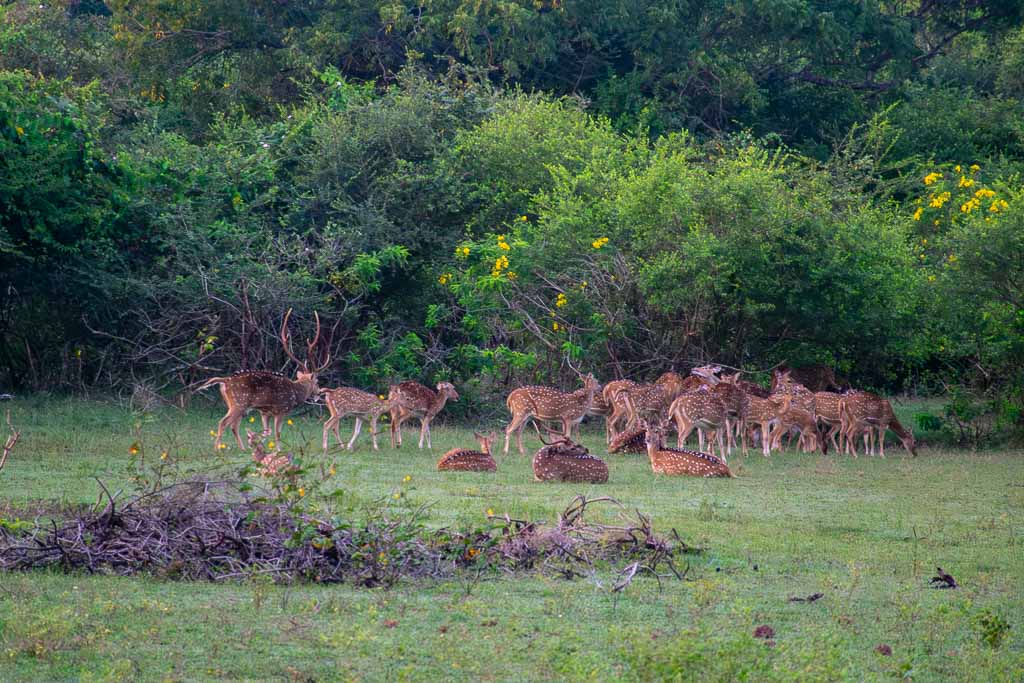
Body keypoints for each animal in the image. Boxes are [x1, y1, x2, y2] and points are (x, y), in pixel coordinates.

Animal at [198, 309, 329, 450]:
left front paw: (259, 446)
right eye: (317, 382)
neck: (295, 393)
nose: (319, 393)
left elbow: (266, 432)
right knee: (223, 422)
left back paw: (242, 448)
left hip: (234, 404)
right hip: (239, 403)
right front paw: (278, 449)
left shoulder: (264, 412)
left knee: (234, 425)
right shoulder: (281, 410)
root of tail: (225, 381)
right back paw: (218, 449)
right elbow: (277, 433)